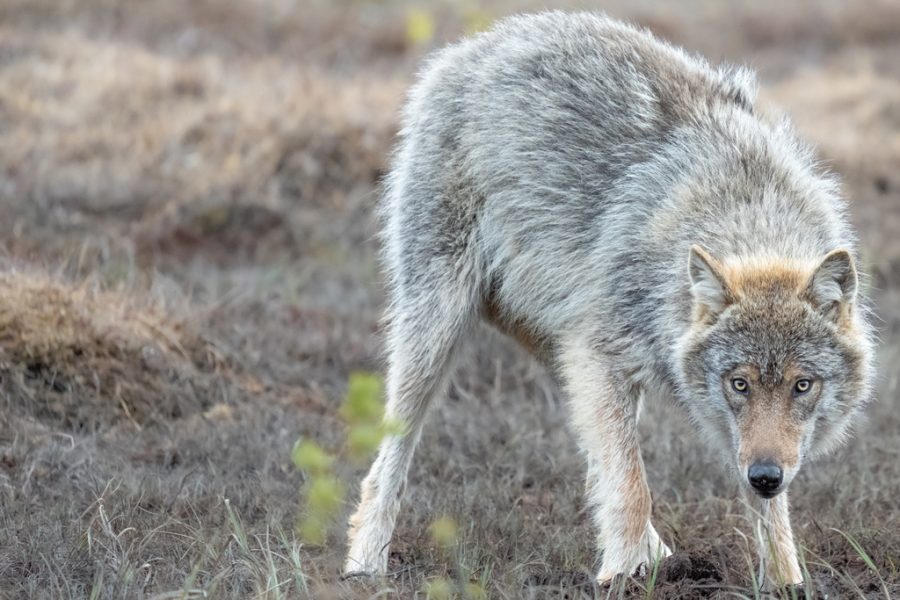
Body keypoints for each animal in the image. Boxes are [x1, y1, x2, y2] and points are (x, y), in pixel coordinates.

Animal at [343, 11, 875, 588]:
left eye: (803, 385)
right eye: (740, 383)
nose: (765, 476)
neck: (748, 214)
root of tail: (477, 43)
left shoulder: (717, 425)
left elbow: (766, 515)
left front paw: (785, 582)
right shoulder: (601, 354)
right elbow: (632, 485)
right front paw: (621, 576)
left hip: (562, 340)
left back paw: (659, 552)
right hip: (440, 334)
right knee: (387, 464)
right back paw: (364, 565)